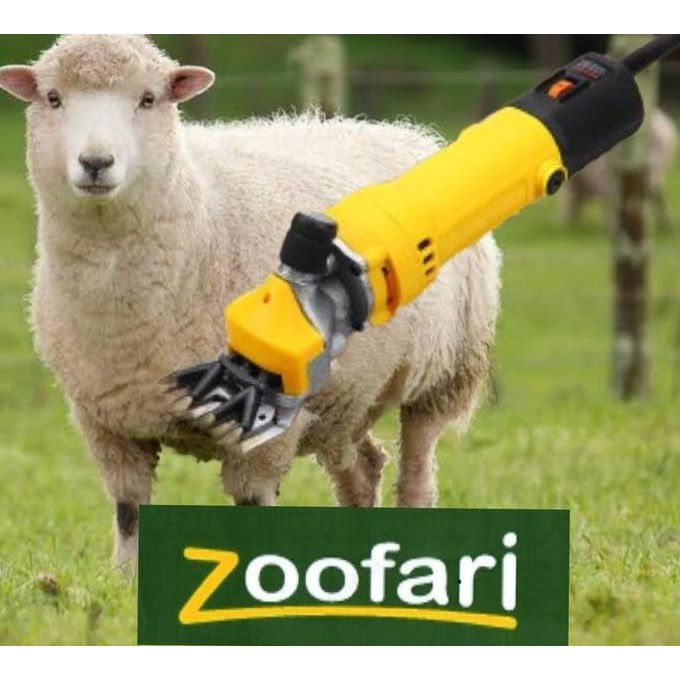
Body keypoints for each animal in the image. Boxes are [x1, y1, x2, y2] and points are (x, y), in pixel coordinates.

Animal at [0, 34, 501, 567]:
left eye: (148, 99)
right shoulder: (107, 421)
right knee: (363, 468)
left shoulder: (264, 431)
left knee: (417, 472)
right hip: (347, 395)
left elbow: (252, 504)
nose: (96, 163)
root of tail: (402, 132)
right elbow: (129, 512)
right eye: (53, 98)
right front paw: (125, 579)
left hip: (444, 372)